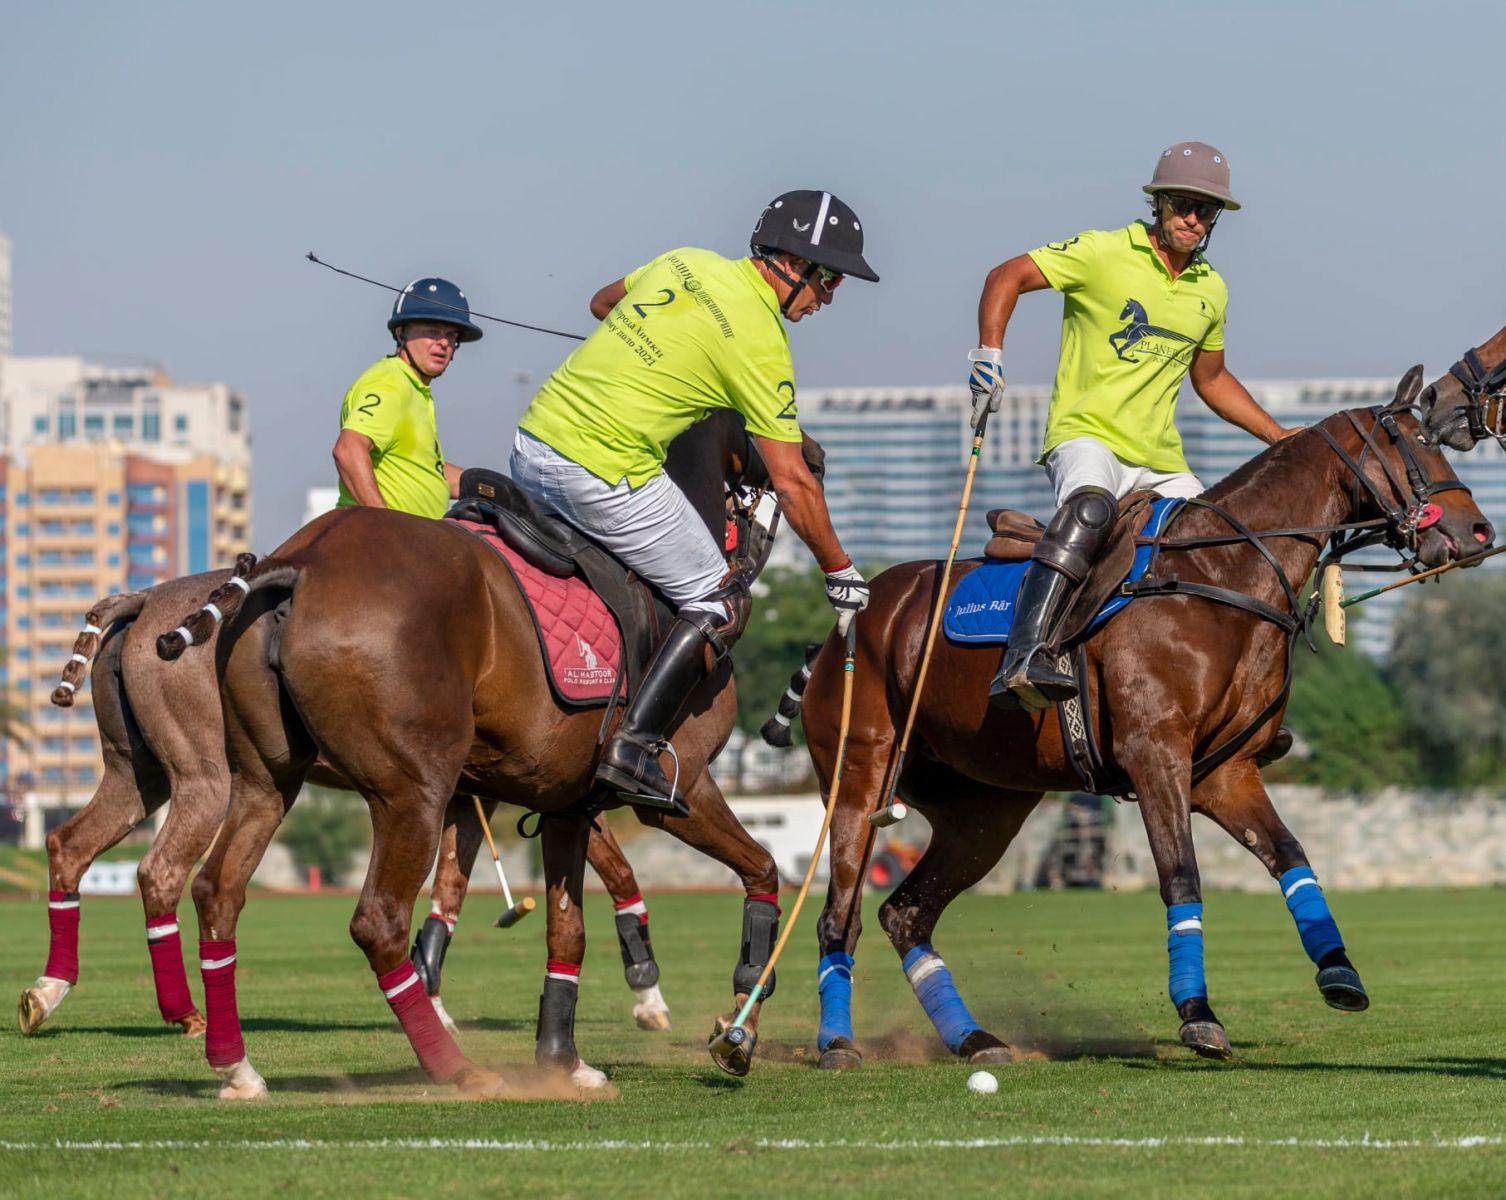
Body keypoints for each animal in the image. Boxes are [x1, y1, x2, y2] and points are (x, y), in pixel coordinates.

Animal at [17, 572, 671, 1041]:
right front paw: (648, 994)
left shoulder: (469, 794)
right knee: (161, 870)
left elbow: (453, 888)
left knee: (69, 842)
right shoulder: (525, 785)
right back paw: (183, 1013)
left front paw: (433, 995)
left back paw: (47, 991)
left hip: (137, 770)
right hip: (203, 773)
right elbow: (613, 867)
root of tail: (146, 597)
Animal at [155, 409, 801, 1096]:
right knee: (377, 919)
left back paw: (237, 1066)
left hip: (266, 780)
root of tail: (299, 564)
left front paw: (563, 1059)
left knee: (218, 891)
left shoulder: (563, 806)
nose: (811, 457)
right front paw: (740, 1021)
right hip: (410, 792)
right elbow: (762, 868)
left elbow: (567, 928)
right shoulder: (683, 785)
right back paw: (454, 1066)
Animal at [783, 376, 1487, 1065]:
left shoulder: (1225, 772)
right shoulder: (1156, 755)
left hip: (985, 810)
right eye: (1415, 443)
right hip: (861, 777)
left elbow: (1290, 855)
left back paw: (974, 1039)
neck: (1221, 574)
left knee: (906, 913)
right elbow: (1181, 874)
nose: (1479, 531)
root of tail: (844, 630)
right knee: (838, 914)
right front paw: (1199, 1016)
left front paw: (1339, 972)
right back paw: (836, 1043)